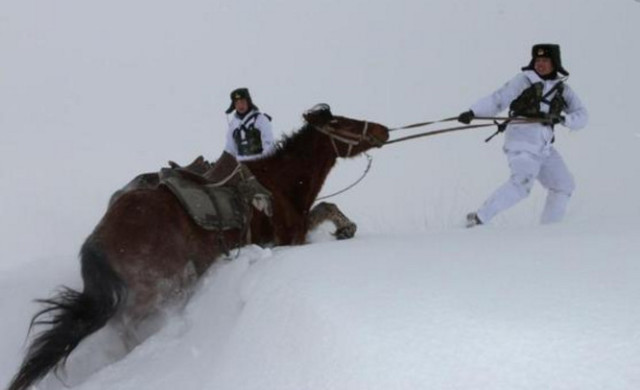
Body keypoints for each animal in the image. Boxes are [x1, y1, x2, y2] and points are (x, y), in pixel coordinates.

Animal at [6, 103, 390, 390]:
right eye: (346, 123)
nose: (383, 130)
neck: (277, 184)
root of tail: (100, 239)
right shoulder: (287, 239)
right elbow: (323, 211)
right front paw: (346, 229)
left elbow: (327, 207)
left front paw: (346, 228)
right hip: (163, 287)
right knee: (128, 325)